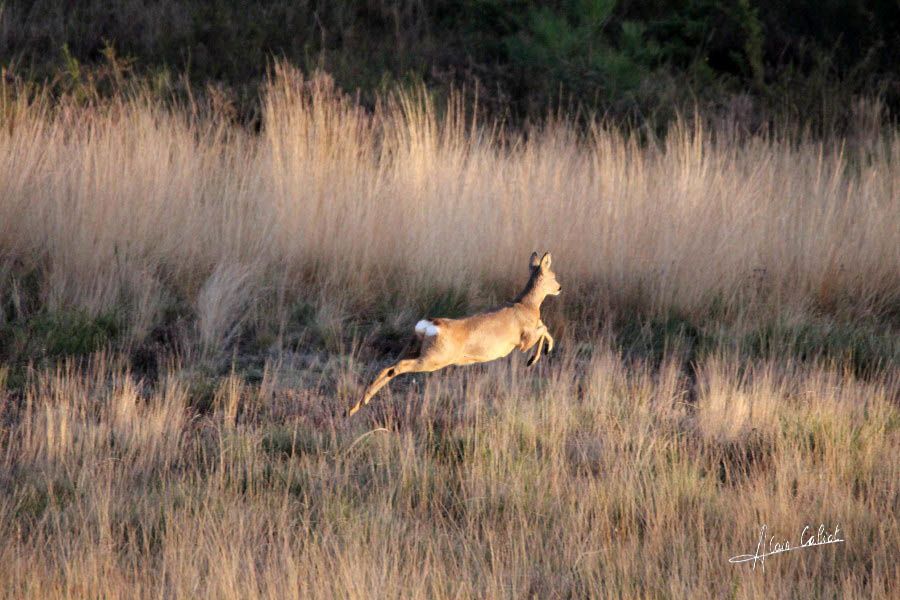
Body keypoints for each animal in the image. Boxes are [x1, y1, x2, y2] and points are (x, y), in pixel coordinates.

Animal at [348, 252, 560, 418]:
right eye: (553, 274)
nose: (559, 288)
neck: (526, 305)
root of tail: (429, 325)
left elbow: (544, 328)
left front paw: (539, 355)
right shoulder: (523, 342)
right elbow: (544, 329)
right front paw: (535, 358)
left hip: (414, 349)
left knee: (386, 367)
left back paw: (354, 407)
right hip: (433, 359)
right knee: (397, 367)